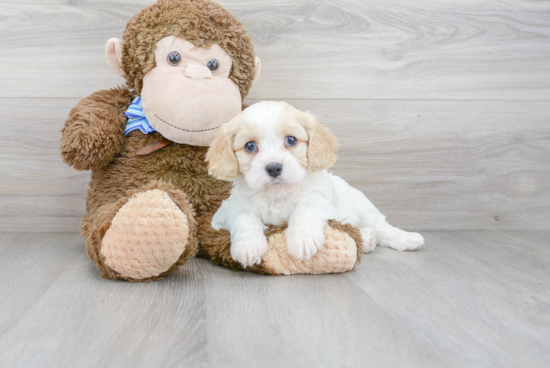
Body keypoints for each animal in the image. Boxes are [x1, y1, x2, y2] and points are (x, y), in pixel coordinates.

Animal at [208, 100, 426, 268]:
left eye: (291, 140)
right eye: (250, 146)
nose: (274, 168)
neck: (277, 196)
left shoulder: (318, 200)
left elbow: (305, 211)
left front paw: (303, 239)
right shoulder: (226, 212)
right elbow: (244, 218)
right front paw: (248, 246)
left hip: (363, 207)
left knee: (382, 227)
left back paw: (406, 238)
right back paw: (367, 239)